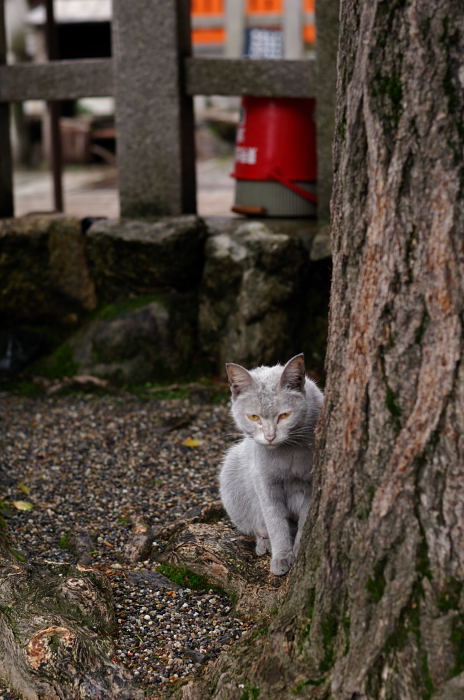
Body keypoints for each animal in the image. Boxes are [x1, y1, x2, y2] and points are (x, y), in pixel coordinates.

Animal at [218, 352, 322, 576]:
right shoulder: (265, 483)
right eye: (253, 416)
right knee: (257, 526)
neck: (288, 453)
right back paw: (264, 543)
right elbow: (275, 522)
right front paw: (281, 557)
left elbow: (304, 520)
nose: (270, 436)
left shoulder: (311, 484)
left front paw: (298, 550)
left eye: (284, 415)